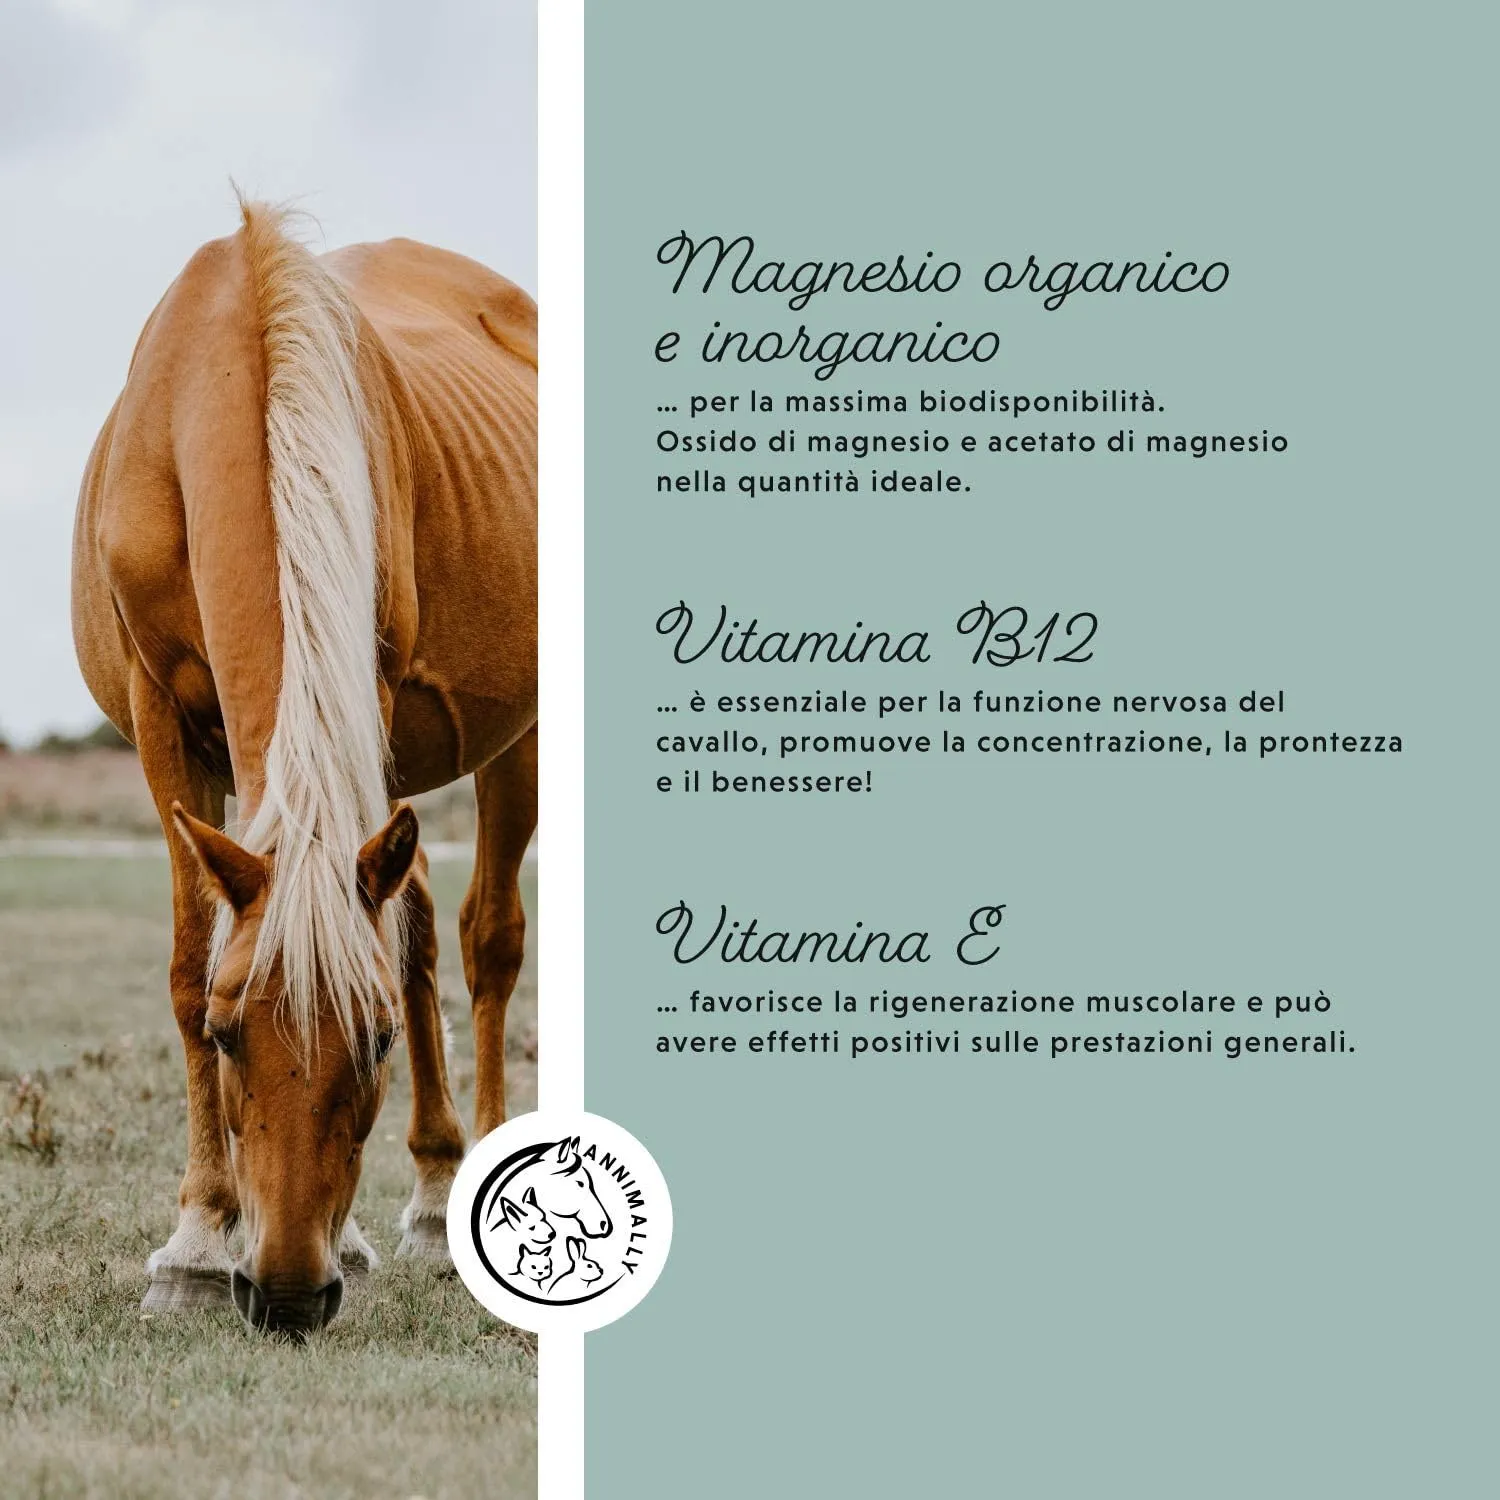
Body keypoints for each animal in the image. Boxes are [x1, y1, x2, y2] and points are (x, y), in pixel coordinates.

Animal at [70, 198, 536, 1337]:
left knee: (485, 940)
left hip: (515, 740)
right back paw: (427, 1198)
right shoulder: (160, 721)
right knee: (418, 920)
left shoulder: (368, 686)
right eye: (230, 1035)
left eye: (373, 1043)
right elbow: (189, 961)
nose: (286, 1293)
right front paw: (197, 1245)